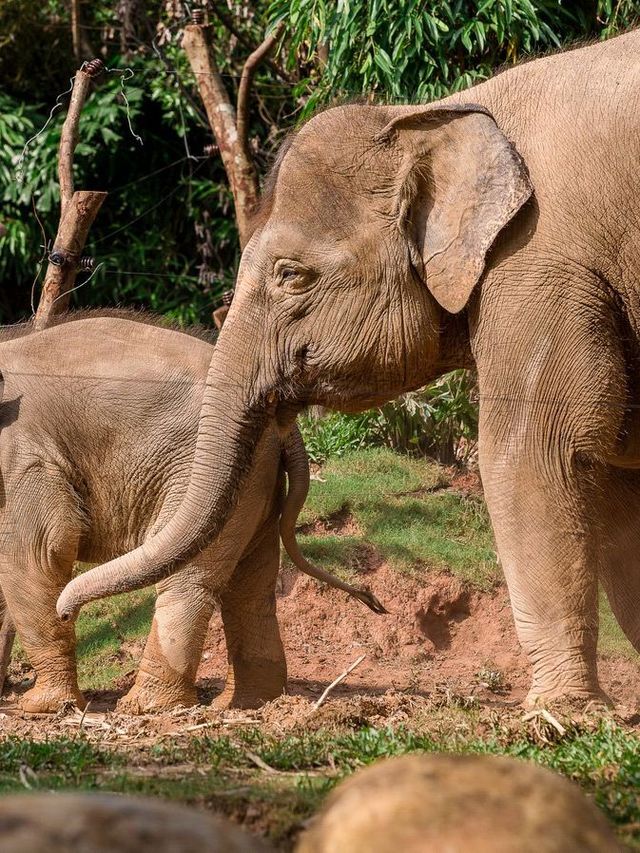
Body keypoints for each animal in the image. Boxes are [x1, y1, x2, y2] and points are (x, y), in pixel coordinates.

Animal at [0, 312, 380, 712]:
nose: (66, 611)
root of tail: (284, 424)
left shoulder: (24, 459)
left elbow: (37, 554)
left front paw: (41, 707)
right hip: (256, 479)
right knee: (251, 584)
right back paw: (248, 702)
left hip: (206, 470)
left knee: (188, 580)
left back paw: (147, 705)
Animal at [60, 30, 640, 704]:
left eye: (291, 275)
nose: (66, 609)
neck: (434, 112)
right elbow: (619, 476)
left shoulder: (539, 259)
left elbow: (537, 450)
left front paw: (561, 712)